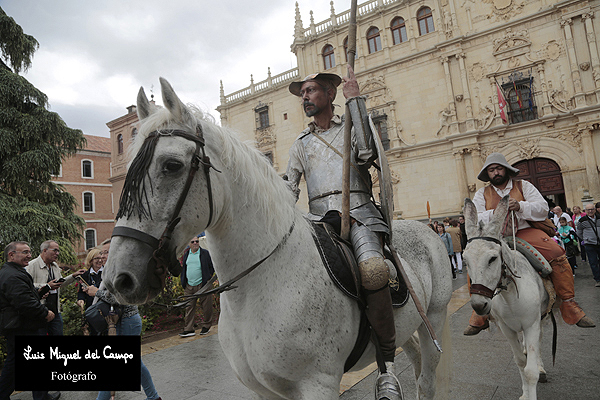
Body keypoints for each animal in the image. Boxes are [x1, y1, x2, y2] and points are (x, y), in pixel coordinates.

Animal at [103, 78, 452, 400]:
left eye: (172, 165)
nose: (118, 280)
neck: (258, 286)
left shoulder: (318, 384)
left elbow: (365, 153)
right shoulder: (265, 390)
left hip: (434, 318)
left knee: (425, 377)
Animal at [462, 197, 552, 400]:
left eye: (493, 258)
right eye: (464, 260)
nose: (479, 305)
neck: (510, 296)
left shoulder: (532, 324)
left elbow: (531, 371)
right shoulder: (507, 329)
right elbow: (520, 362)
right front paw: (525, 393)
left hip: (542, 317)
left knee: (540, 341)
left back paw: (542, 367)